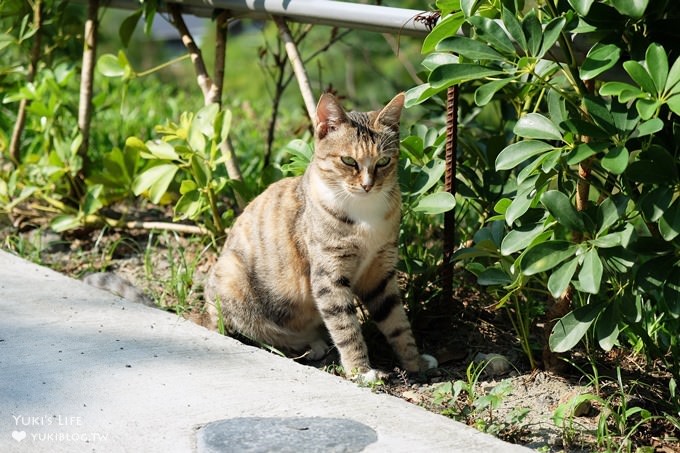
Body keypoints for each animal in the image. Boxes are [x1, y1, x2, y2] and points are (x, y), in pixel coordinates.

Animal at [203, 92, 436, 382]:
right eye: (349, 161)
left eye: (383, 162)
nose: (367, 185)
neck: (364, 213)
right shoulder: (329, 272)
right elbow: (345, 326)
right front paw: (361, 371)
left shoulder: (380, 270)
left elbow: (397, 322)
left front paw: (415, 362)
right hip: (232, 277)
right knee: (255, 333)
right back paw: (305, 344)